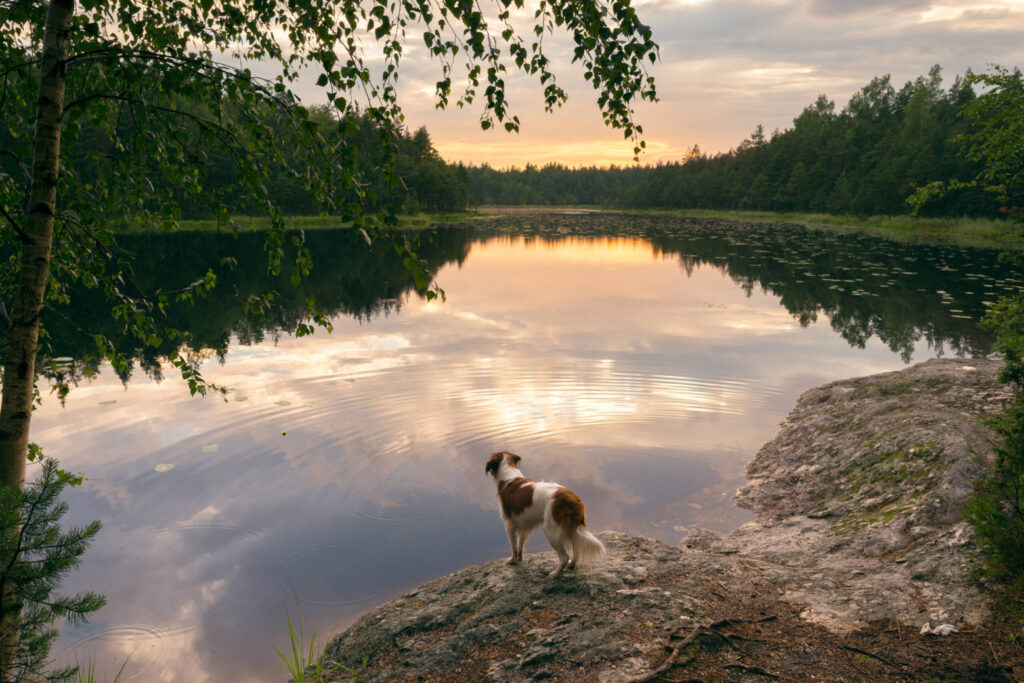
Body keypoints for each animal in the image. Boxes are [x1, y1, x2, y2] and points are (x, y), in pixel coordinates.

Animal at [483, 450, 602, 581]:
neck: (509, 476)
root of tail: (571, 498)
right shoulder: (525, 524)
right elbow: (521, 543)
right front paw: (520, 558)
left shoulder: (509, 524)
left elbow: (513, 545)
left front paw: (513, 560)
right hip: (572, 529)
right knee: (577, 549)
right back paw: (572, 565)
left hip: (551, 530)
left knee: (564, 557)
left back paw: (555, 573)